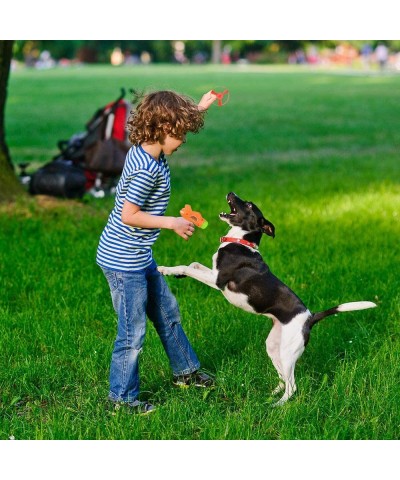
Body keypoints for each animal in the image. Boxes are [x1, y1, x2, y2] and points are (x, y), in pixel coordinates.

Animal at [158, 191, 376, 404]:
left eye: (249, 205)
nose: (230, 192)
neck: (241, 242)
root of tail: (310, 318)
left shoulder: (217, 280)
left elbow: (188, 266)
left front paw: (166, 269)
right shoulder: (212, 273)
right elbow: (193, 264)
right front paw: (177, 274)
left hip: (288, 352)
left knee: (292, 386)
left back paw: (278, 405)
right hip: (273, 347)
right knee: (283, 378)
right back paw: (272, 394)